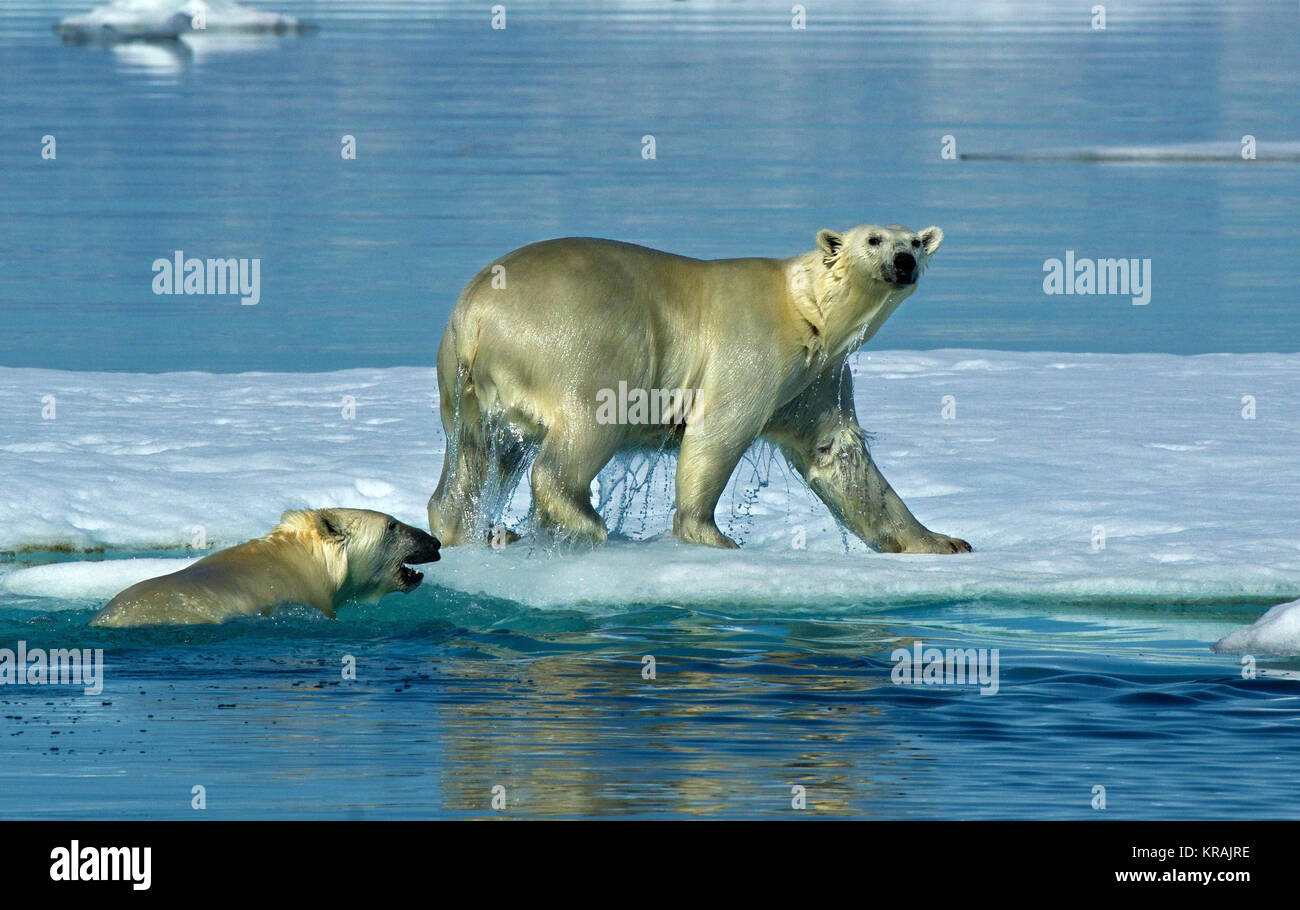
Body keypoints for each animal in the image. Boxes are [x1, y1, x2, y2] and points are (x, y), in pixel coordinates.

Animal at [428, 224, 971, 555]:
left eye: (915, 241)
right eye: (874, 239)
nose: (903, 261)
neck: (805, 310)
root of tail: (473, 314)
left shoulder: (819, 378)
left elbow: (838, 455)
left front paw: (942, 541)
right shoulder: (753, 347)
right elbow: (719, 431)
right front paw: (713, 536)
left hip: (463, 385)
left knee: (477, 454)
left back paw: (470, 529)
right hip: (577, 343)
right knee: (585, 428)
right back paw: (587, 523)